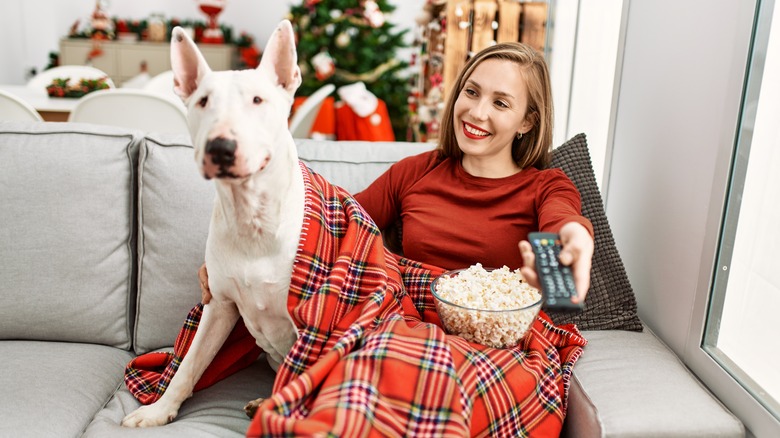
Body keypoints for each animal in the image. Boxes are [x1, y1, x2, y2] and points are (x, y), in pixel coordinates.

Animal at [122, 20, 304, 428]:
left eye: (257, 100)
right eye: (203, 101)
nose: (221, 148)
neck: (252, 219)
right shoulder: (219, 306)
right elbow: (188, 365)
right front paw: (158, 411)